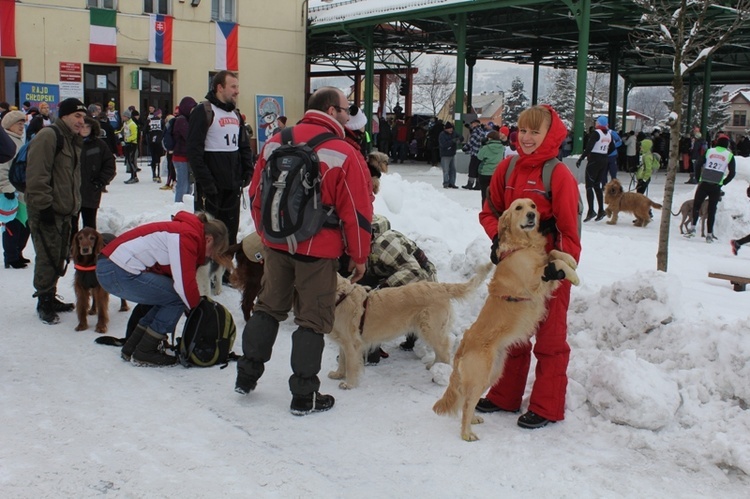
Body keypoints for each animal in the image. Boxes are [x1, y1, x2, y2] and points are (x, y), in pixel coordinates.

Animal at [432, 199, 580, 442]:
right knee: (467, 403)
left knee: (468, 400)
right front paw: (572, 274)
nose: (531, 215)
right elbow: (553, 264)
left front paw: (570, 260)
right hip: (481, 374)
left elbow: (554, 252)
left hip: (492, 373)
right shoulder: (534, 279)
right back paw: (467, 433)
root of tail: (462, 346)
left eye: (533, 205)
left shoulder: (542, 265)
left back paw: (473, 420)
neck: (523, 246)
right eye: (519, 208)